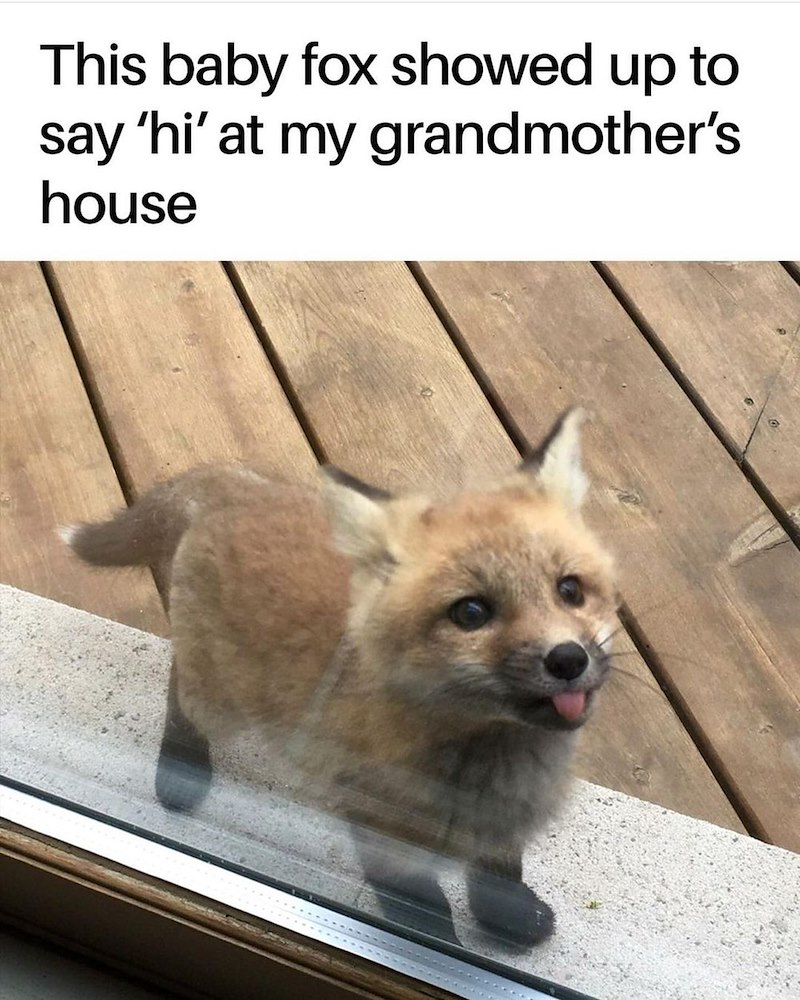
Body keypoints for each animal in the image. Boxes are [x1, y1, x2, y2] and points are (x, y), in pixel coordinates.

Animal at [63, 407, 618, 949]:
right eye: (472, 612)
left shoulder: (504, 827)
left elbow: (499, 874)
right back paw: (182, 768)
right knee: (181, 689)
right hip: (221, 700)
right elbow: (426, 916)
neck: (490, 764)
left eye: (570, 590)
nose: (567, 660)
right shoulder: (382, 833)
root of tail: (237, 487)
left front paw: (509, 918)